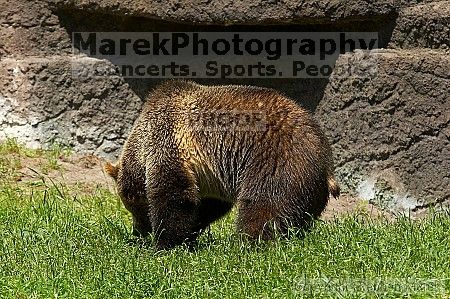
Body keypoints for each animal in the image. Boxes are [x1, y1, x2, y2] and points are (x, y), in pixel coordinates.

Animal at [104, 80, 338, 251]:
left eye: (133, 208)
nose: (138, 232)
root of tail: (326, 161)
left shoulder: (170, 143)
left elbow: (174, 196)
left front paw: (163, 244)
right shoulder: (210, 177)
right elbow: (207, 205)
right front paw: (189, 234)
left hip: (275, 160)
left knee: (264, 206)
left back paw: (248, 244)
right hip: (310, 189)